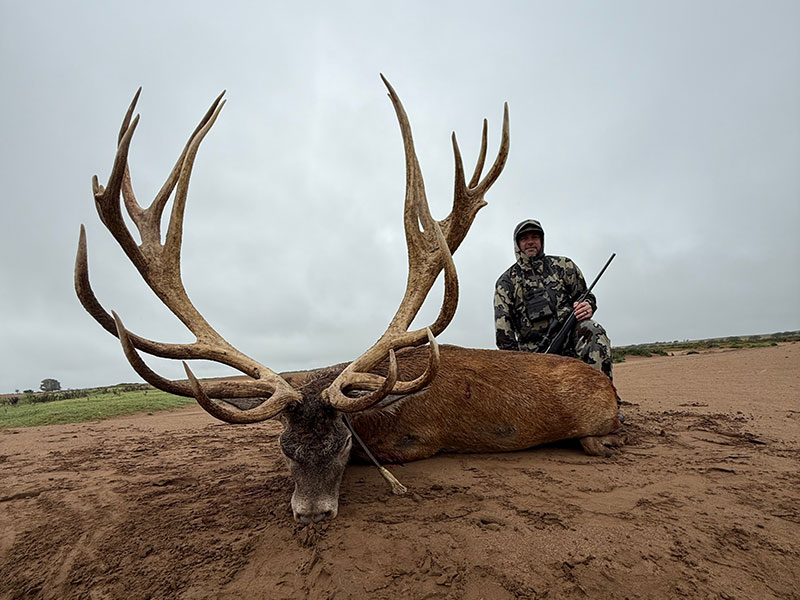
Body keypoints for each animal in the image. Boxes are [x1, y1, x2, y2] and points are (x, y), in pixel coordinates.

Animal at [75, 76, 623, 524]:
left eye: (341, 444)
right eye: (285, 448)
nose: (312, 514)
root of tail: (609, 388)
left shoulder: (415, 442)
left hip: (598, 423)